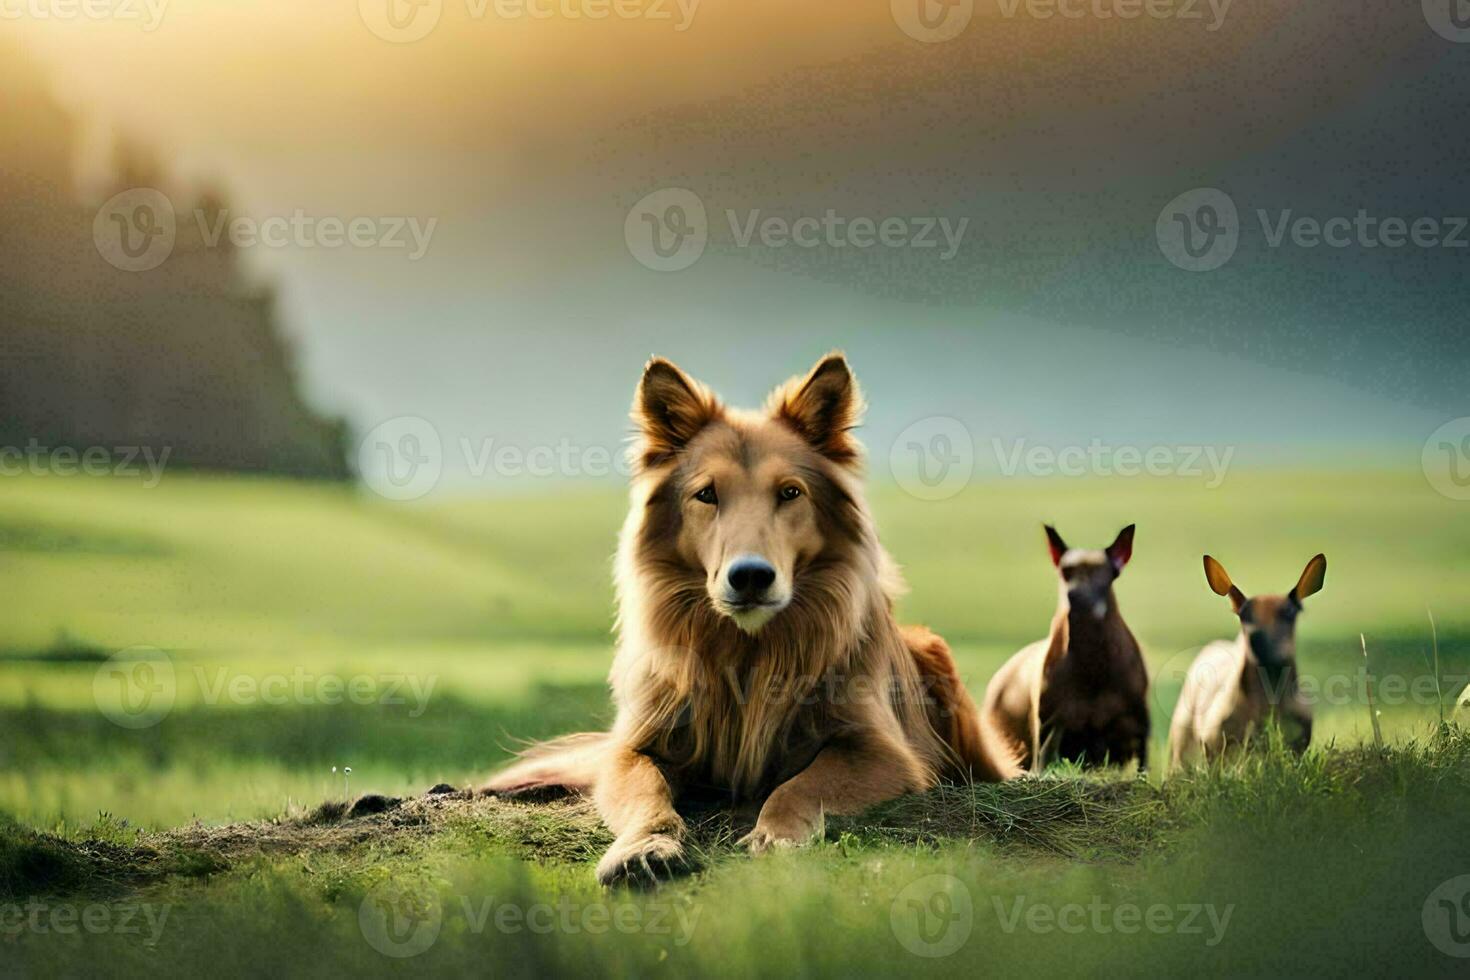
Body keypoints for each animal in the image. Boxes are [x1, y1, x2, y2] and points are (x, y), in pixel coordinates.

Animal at [488, 354, 1017, 887]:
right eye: (706, 494)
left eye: (790, 492)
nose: (750, 576)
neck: (748, 650)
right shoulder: (635, 747)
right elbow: (646, 793)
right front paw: (646, 845)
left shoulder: (883, 751)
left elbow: (800, 785)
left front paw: (773, 837)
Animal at [981, 528, 1152, 775]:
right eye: (1065, 572)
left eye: (1103, 574)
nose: (1076, 595)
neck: (1091, 657)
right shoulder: (1050, 730)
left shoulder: (1138, 730)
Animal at [1164, 555, 1328, 769]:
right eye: (1244, 614)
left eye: (1290, 612)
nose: (1257, 637)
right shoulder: (1214, 746)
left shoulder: (1299, 742)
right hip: (1180, 742)